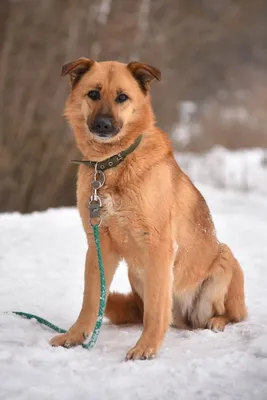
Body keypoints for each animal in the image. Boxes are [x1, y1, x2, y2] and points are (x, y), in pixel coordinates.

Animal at [50, 57, 247, 360]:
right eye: (93, 93)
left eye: (122, 97)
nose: (103, 125)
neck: (112, 164)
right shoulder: (98, 246)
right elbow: (91, 299)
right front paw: (75, 336)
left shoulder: (158, 246)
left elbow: (156, 308)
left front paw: (146, 347)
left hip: (225, 261)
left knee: (230, 315)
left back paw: (217, 321)